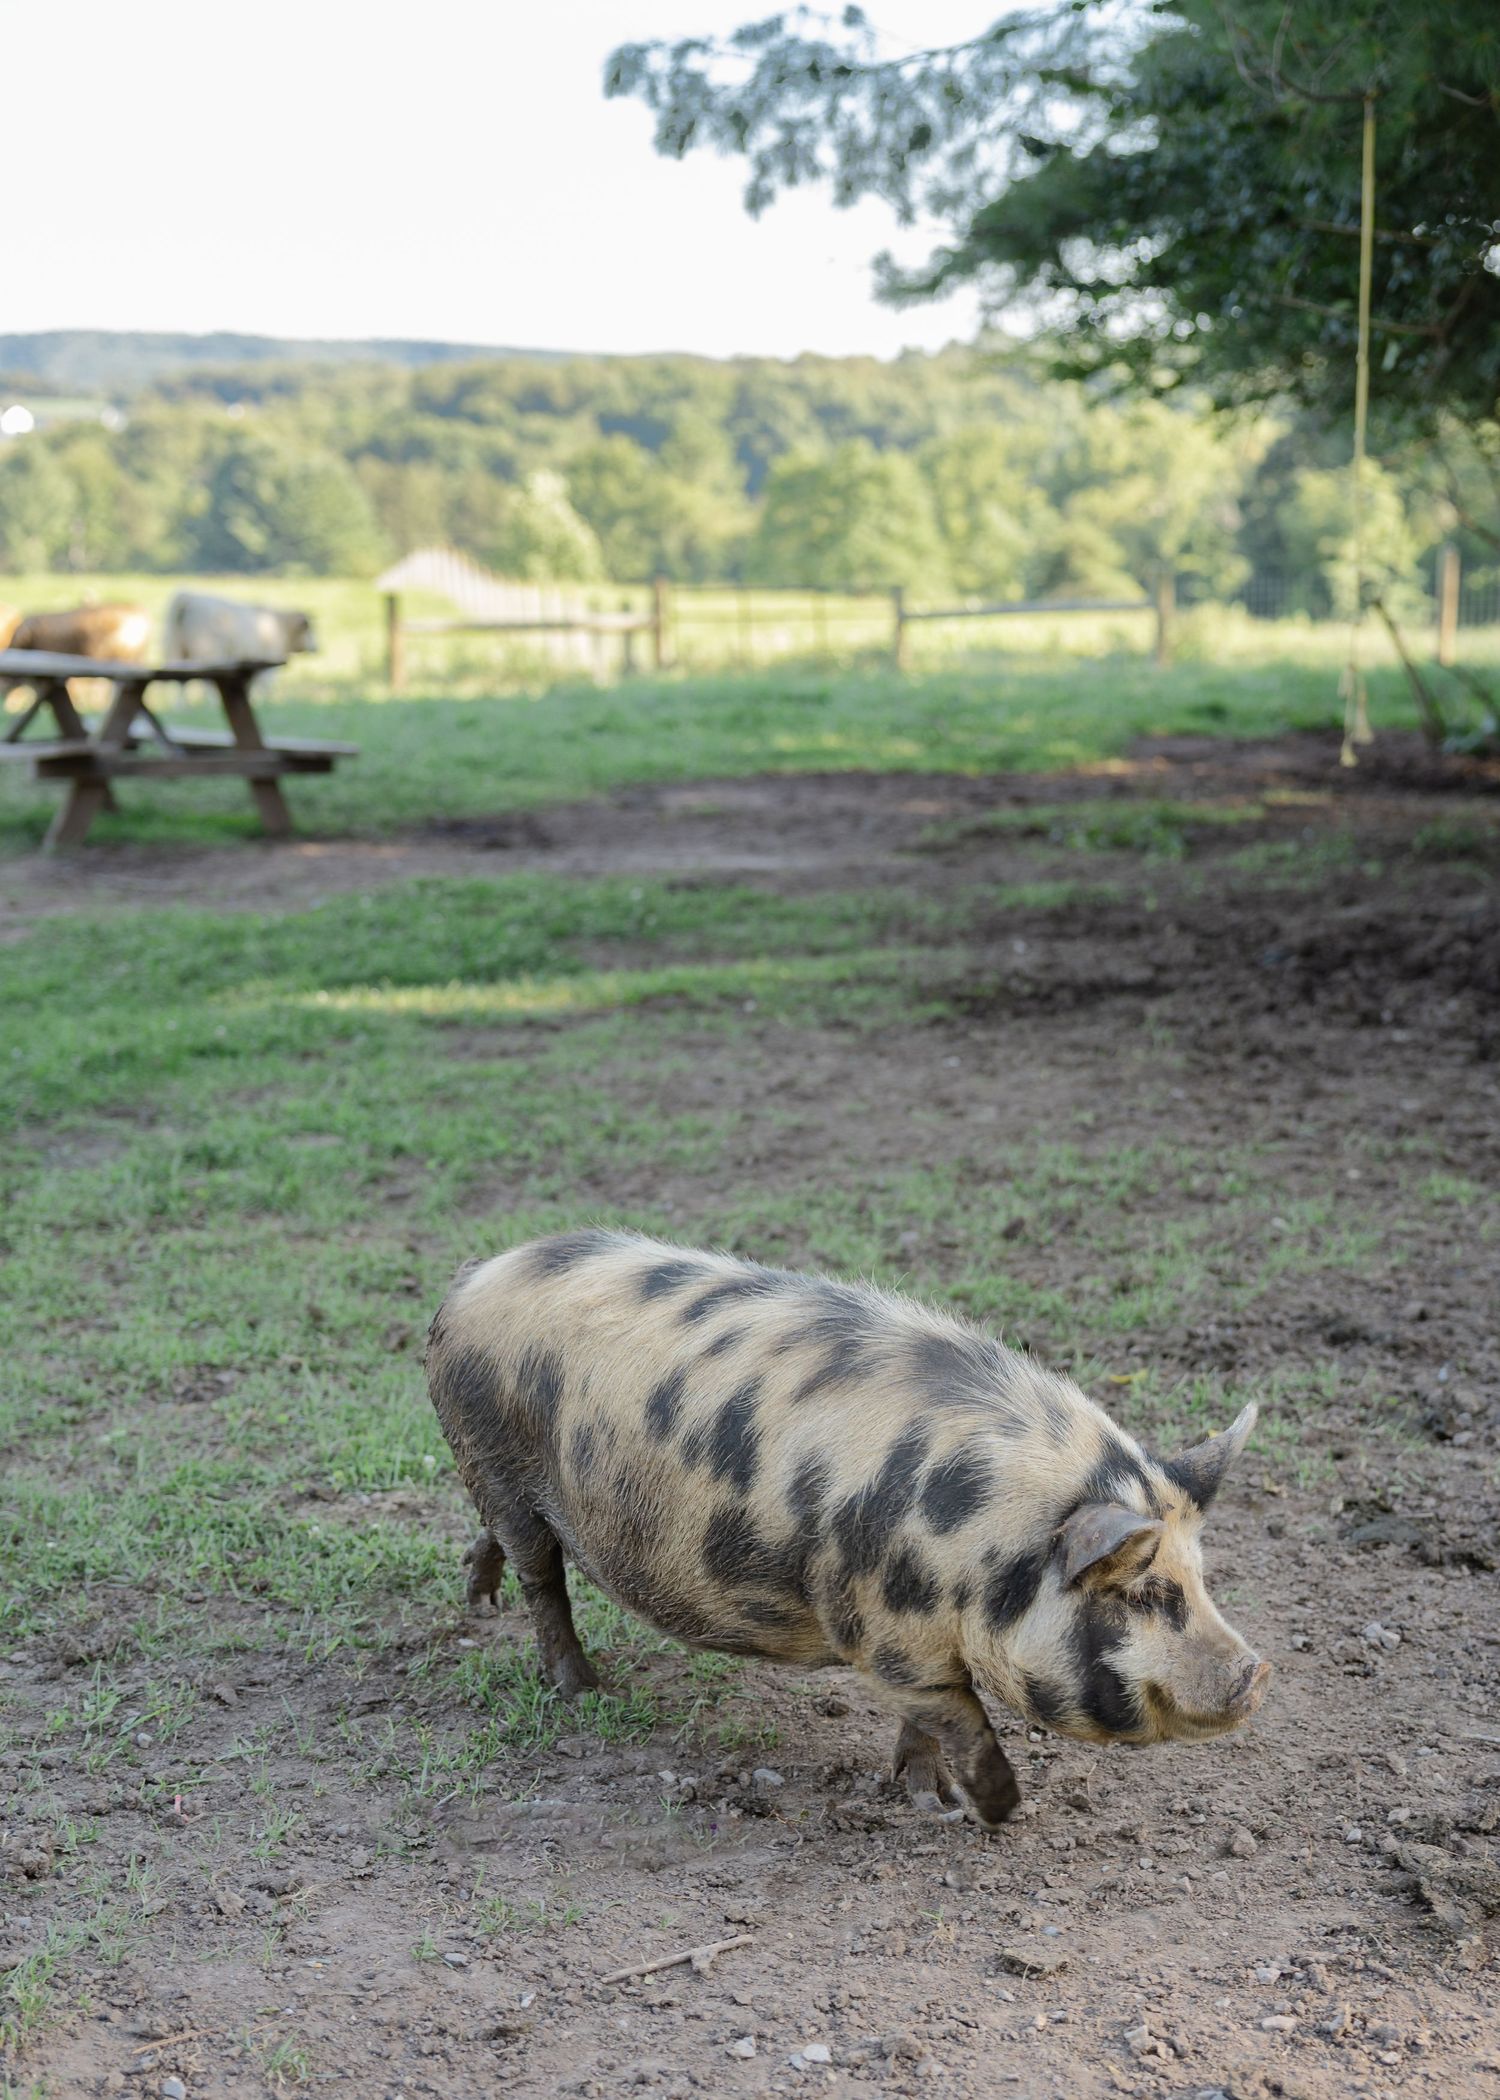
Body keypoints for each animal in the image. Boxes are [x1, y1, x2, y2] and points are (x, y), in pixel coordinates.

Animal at [426, 1230, 1270, 1828]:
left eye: (1201, 1576)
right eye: (1138, 1592)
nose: (1257, 1672)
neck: (977, 1550)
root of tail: (473, 1277)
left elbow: (929, 1724)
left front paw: (922, 1794)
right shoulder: (883, 1634)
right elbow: (960, 1718)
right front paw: (988, 1811)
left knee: (501, 1545)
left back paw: (478, 1601)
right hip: (494, 1453)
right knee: (543, 1576)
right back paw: (580, 1691)